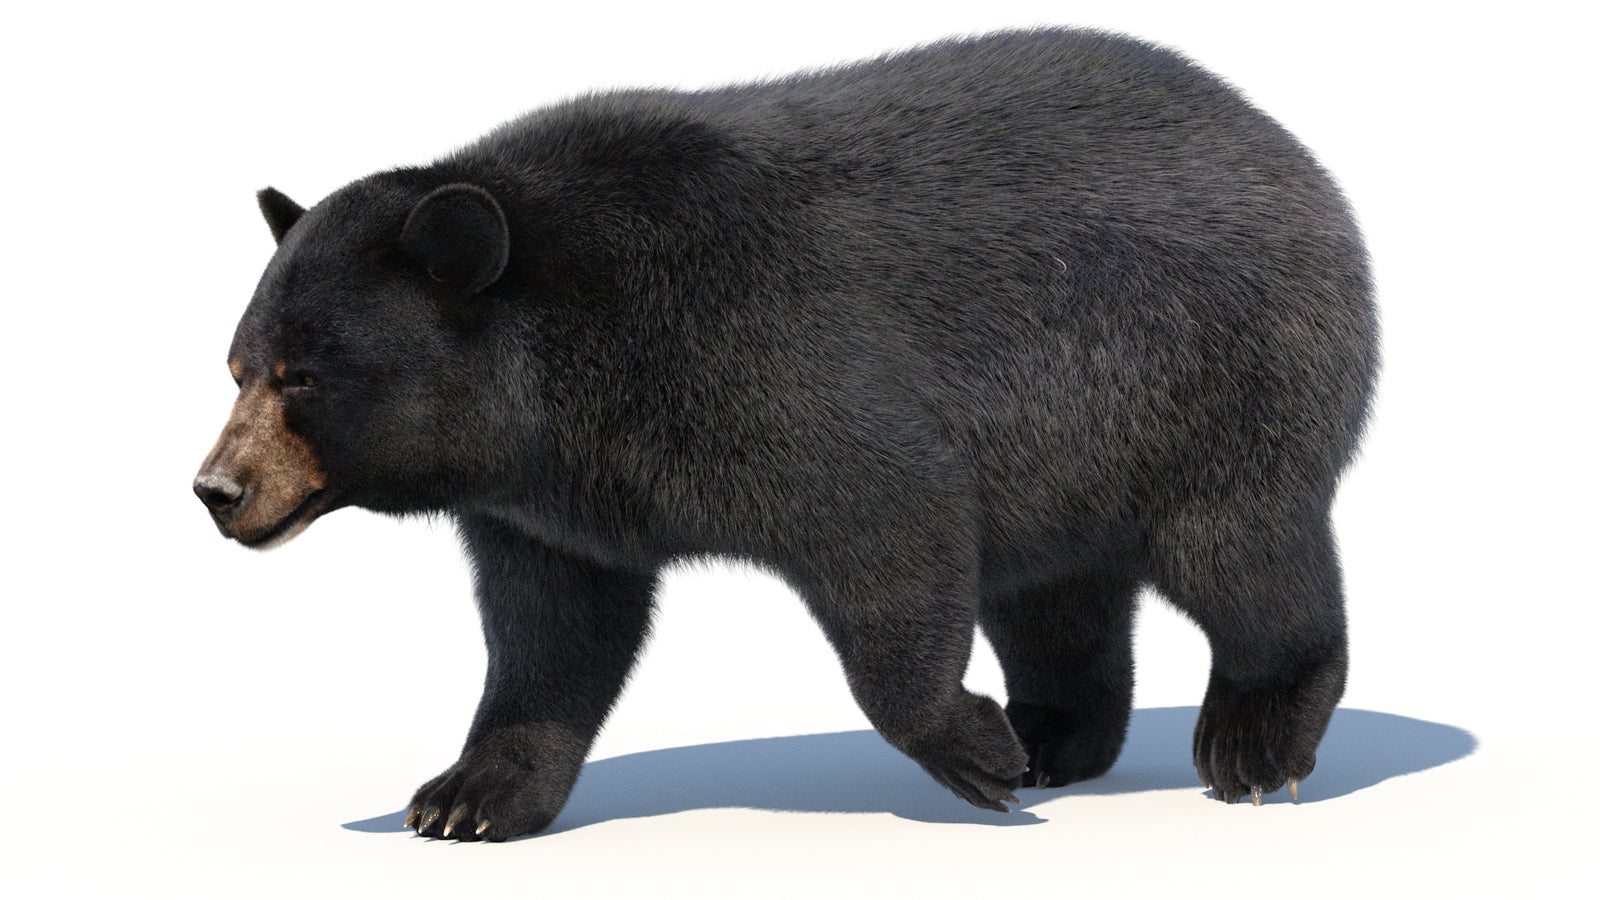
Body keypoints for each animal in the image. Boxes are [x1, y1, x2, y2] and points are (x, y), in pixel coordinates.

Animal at [195, 27, 1378, 841]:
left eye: (306, 376)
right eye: (239, 366)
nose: (216, 490)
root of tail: (1291, 153)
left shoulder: (764, 363)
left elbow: (891, 520)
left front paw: (967, 749)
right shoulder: (549, 502)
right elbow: (551, 633)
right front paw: (467, 795)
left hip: (1209, 376)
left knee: (1241, 554)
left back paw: (1254, 739)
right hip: (1074, 456)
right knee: (1054, 593)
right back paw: (1052, 732)